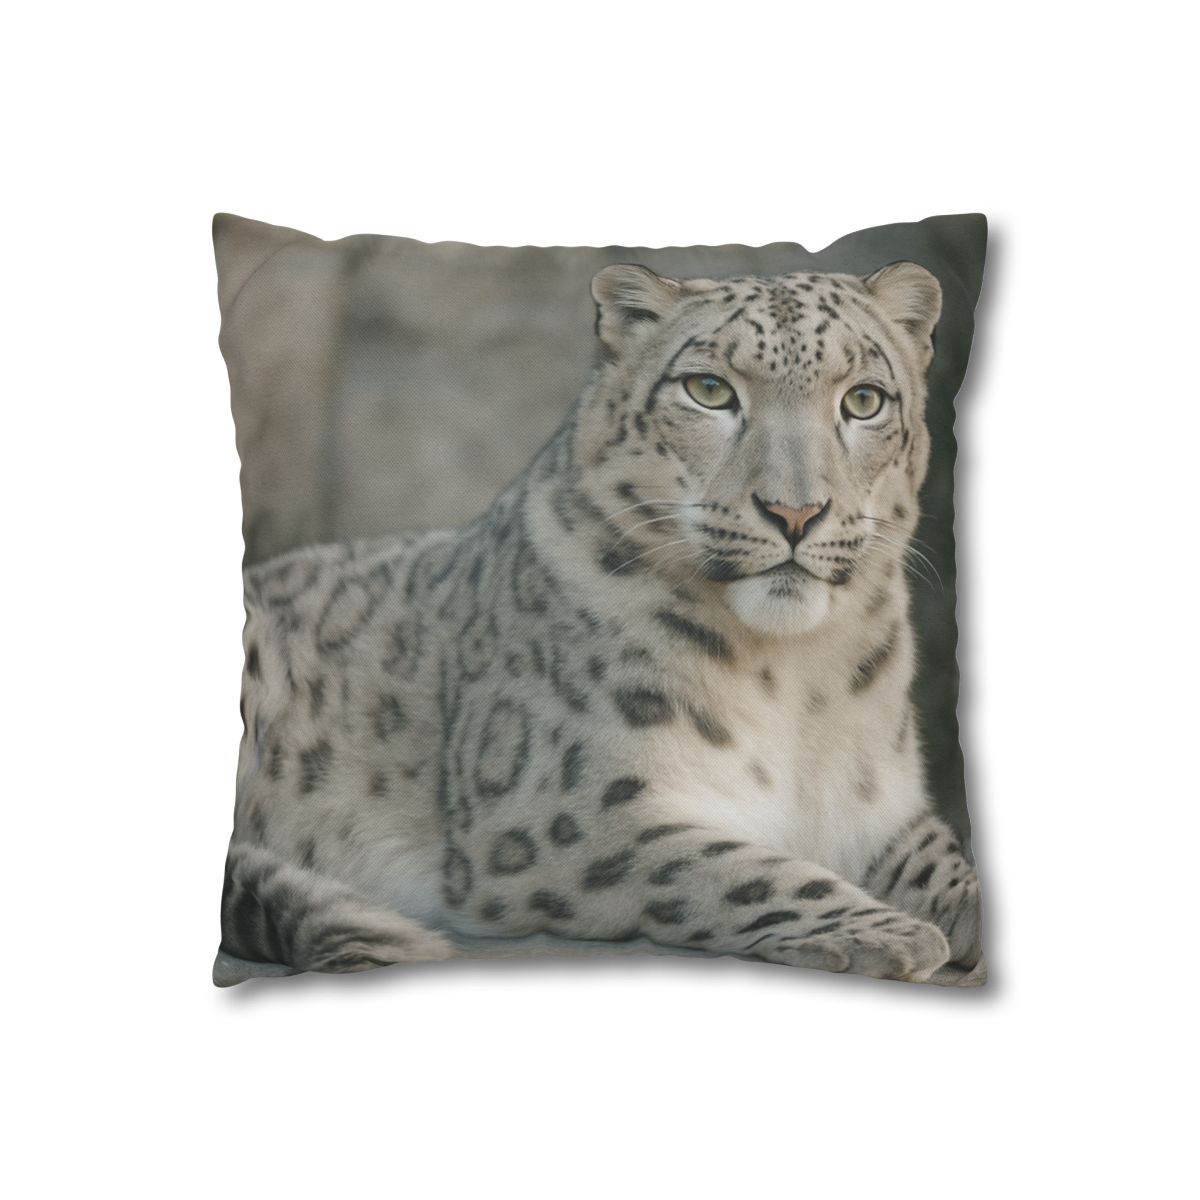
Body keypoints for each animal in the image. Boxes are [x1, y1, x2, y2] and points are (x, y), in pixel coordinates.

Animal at [216, 259, 983, 987]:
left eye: (864, 400)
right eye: (709, 390)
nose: (795, 513)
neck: (795, 675)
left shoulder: (879, 807)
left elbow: (947, 860)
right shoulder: (569, 810)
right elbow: (729, 869)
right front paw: (890, 933)